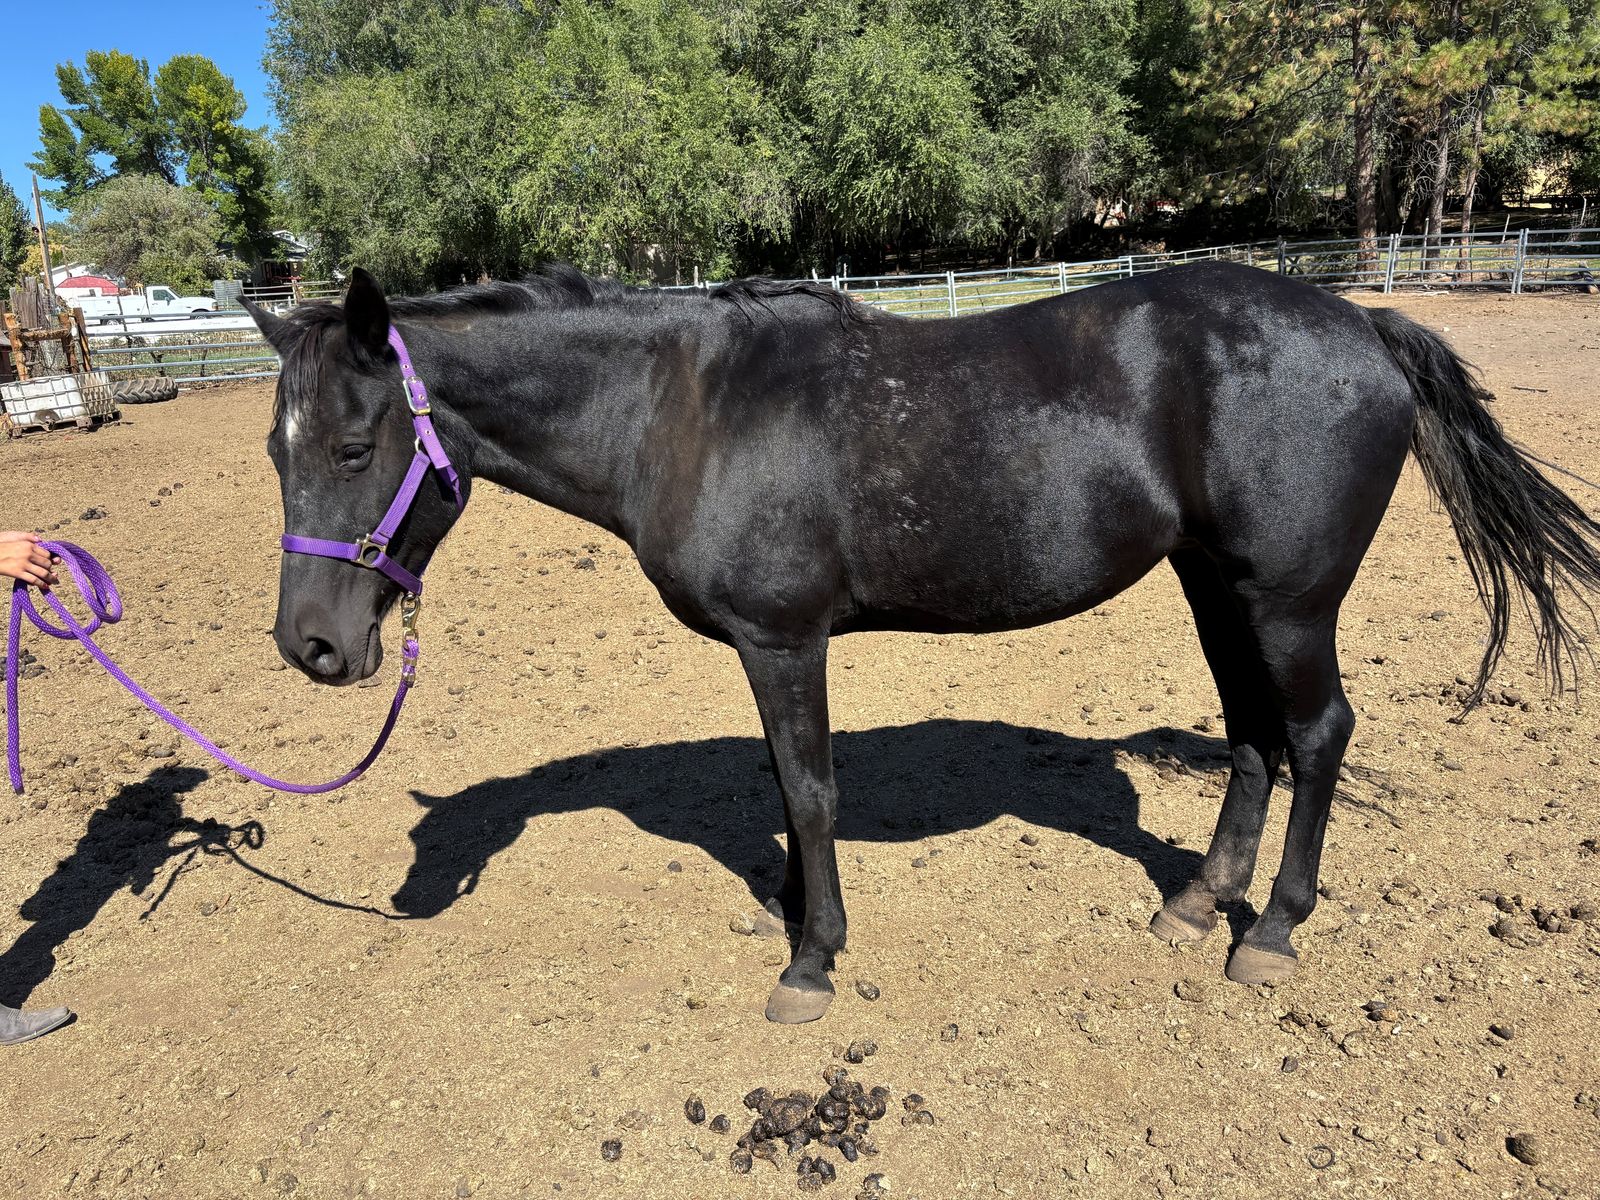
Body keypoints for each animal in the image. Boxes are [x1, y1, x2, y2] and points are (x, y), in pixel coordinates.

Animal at [243, 262, 1600, 1023]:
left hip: (1287, 599)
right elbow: (781, 785)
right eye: (274, 447)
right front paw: (787, 911)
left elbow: (809, 787)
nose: (310, 647)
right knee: (1251, 735)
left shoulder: (784, 639)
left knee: (1315, 733)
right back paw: (1195, 902)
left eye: (355, 448)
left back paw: (1267, 933)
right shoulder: (768, 649)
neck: (680, 405)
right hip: (1216, 587)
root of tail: (1365, 327)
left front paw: (813, 962)